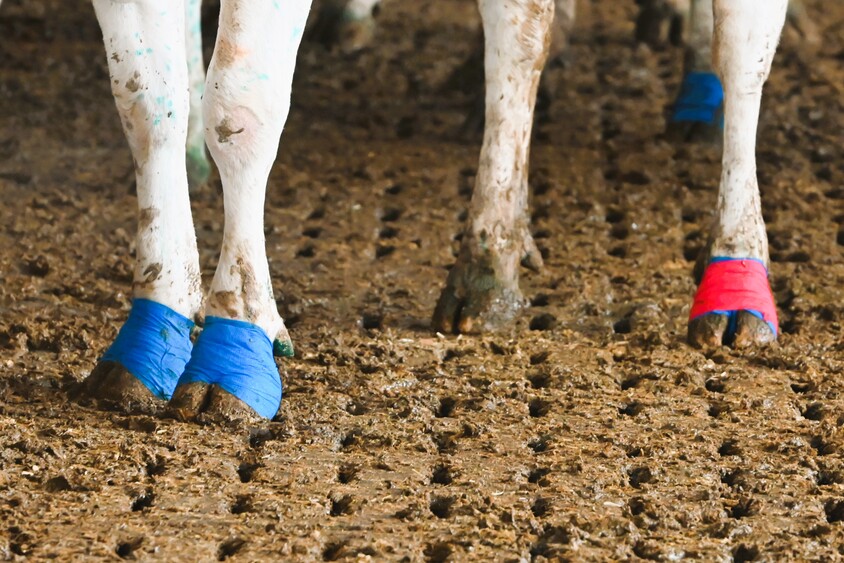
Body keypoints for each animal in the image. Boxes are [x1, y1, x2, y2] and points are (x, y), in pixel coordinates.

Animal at [57, 0, 787, 422]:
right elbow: (145, 98)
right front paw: (153, 330)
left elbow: (237, 106)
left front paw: (235, 344)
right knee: (521, 34)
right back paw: (497, 252)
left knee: (743, 50)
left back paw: (735, 276)